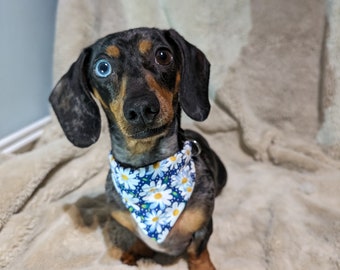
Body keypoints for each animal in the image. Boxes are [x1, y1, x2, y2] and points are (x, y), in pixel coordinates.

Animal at [49, 28, 227, 270]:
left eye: (163, 55)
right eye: (102, 67)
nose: (142, 108)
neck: (147, 170)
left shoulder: (202, 227)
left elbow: (197, 252)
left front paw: (203, 267)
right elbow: (139, 239)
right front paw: (136, 251)